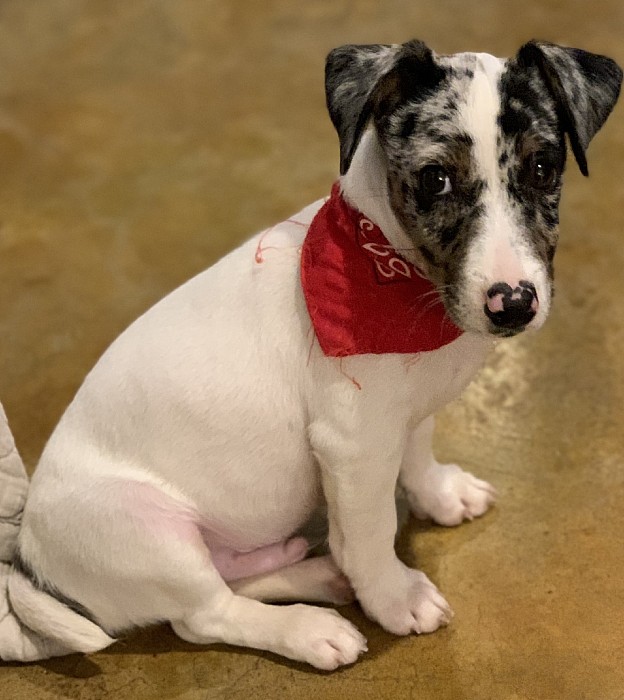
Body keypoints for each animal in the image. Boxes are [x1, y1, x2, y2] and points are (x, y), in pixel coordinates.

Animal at [3, 37, 620, 668]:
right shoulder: (354, 444)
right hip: (149, 532)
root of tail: (30, 561)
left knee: (233, 580)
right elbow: (370, 532)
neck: (406, 289)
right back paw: (308, 627)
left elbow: (418, 450)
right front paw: (393, 597)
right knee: (203, 616)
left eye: (543, 167)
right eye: (435, 179)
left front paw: (439, 493)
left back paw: (313, 572)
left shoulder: (404, 412)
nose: (514, 303)